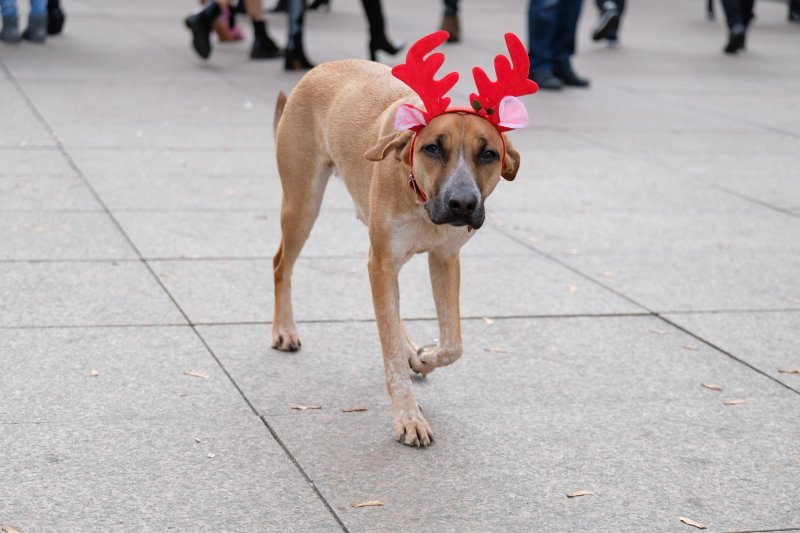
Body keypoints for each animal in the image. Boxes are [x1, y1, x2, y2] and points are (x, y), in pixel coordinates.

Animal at [268, 29, 536, 444]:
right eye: (433, 148)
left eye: (489, 154)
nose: (462, 204)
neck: (421, 202)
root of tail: (320, 68)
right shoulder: (383, 262)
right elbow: (390, 351)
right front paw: (408, 417)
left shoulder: (443, 260)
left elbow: (452, 342)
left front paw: (425, 356)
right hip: (302, 204)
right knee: (282, 263)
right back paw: (284, 330)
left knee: (391, 312)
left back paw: (413, 348)